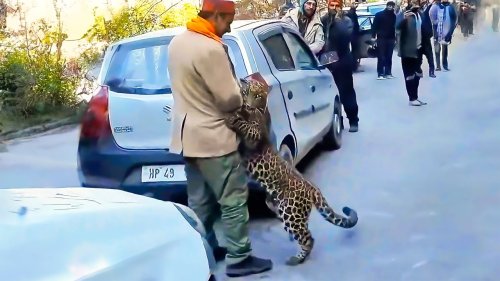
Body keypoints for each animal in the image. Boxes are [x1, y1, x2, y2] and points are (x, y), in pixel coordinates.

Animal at [225, 78, 358, 264]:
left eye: (257, 95)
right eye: (245, 92)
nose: (248, 105)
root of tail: (313, 188)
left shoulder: (255, 135)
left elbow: (246, 126)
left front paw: (232, 117)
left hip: (290, 213)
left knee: (308, 238)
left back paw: (297, 259)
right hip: (289, 212)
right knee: (304, 231)